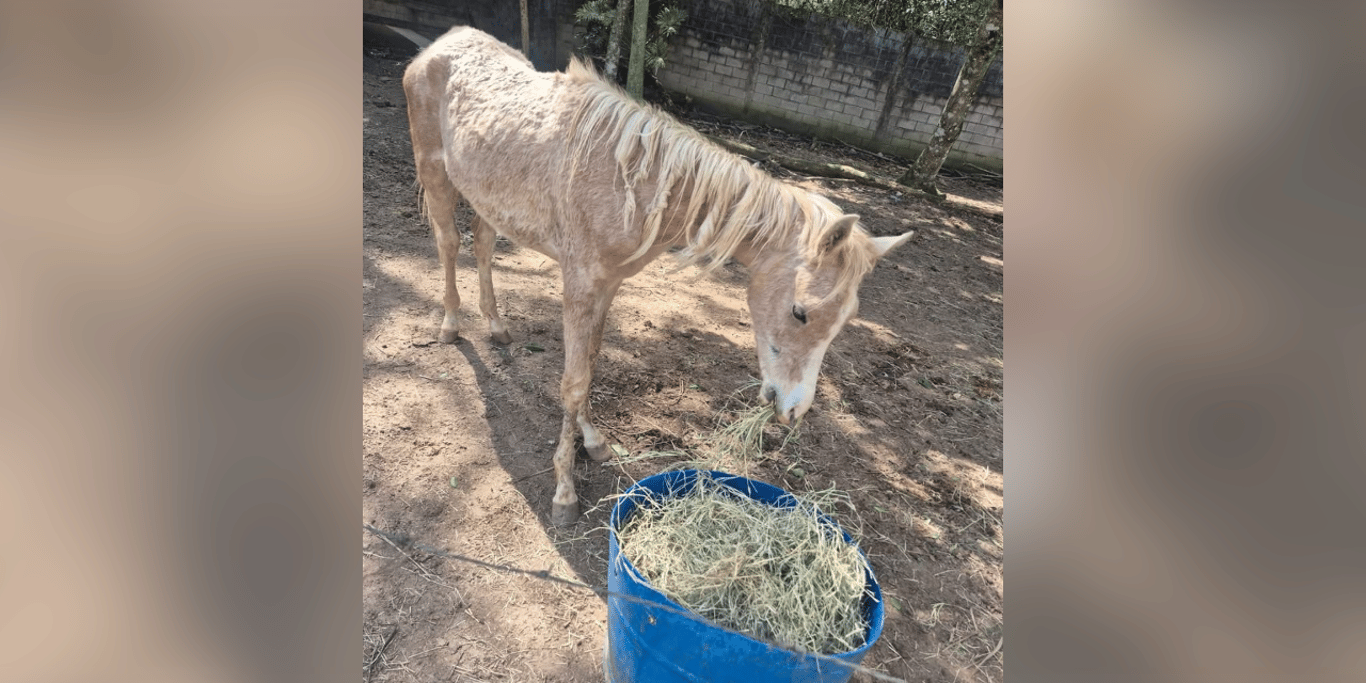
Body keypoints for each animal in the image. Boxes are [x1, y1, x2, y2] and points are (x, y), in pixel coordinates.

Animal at [403, 26, 914, 526]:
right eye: (800, 312)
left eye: (844, 321)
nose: (794, 410)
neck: (637, 181)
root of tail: (438, 46)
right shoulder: (580, 285)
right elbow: (572, 382)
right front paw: (565, 491)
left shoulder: (607, 286)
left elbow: (590, 365)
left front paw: (593, 441)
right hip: (436, 174)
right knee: (449, 244)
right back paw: (451, 326)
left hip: (486, 197)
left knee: (483, 244)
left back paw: (497, 326)